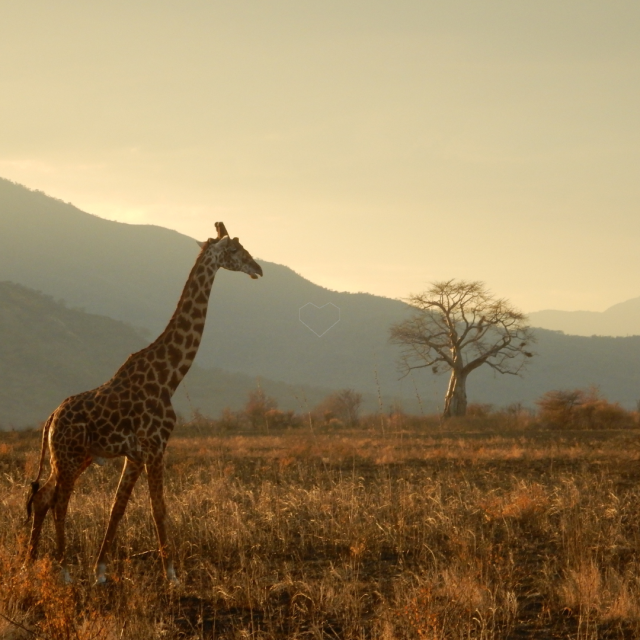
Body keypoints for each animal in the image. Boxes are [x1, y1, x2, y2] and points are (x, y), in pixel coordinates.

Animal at [23, 221, 262, 584]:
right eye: (235, 249)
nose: (258, 269)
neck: (170, 377)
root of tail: (50, 418)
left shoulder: (135, 454)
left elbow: (118, 508)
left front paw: (101, 571)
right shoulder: (154, 446)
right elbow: (157, 508)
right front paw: (172, 575)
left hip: (71, 458)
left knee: (43, 497)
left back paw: (28, 565)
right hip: (69, 456)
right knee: (60, 500)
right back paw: (62, 570)